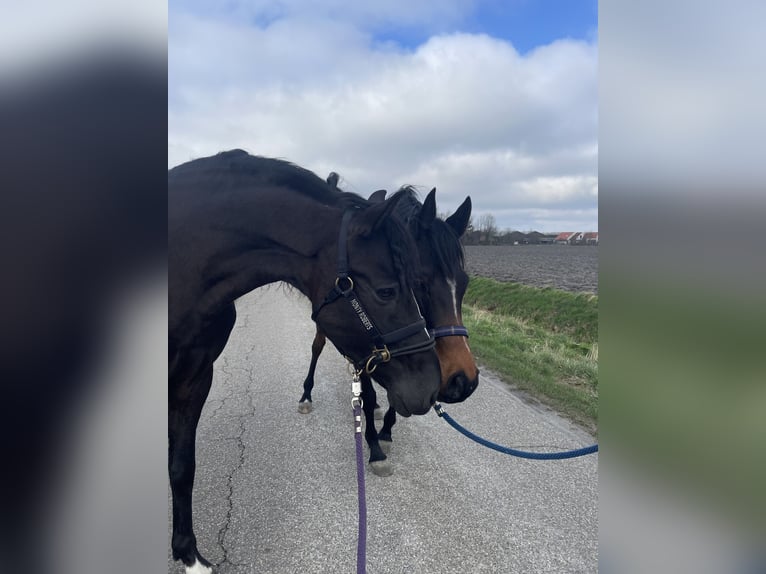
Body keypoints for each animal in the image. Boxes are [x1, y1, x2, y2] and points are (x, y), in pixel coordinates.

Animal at [300, 183, 480, 476]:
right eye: (419, 282)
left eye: (464, 284)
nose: (463, 381)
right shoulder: (364, 351)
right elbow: (369, 391)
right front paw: (374, 447)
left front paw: (385, 430)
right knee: (317, 348)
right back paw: (306, 395)